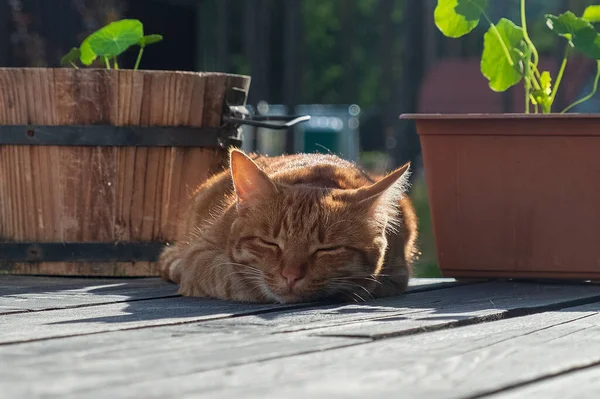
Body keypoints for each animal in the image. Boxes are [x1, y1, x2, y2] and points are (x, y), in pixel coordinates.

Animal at [158, 148, 418, 304]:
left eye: (327, 249)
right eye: (269, 243)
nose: (290, 276)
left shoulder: (396, 274)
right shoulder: (199, 256)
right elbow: (235, 280)